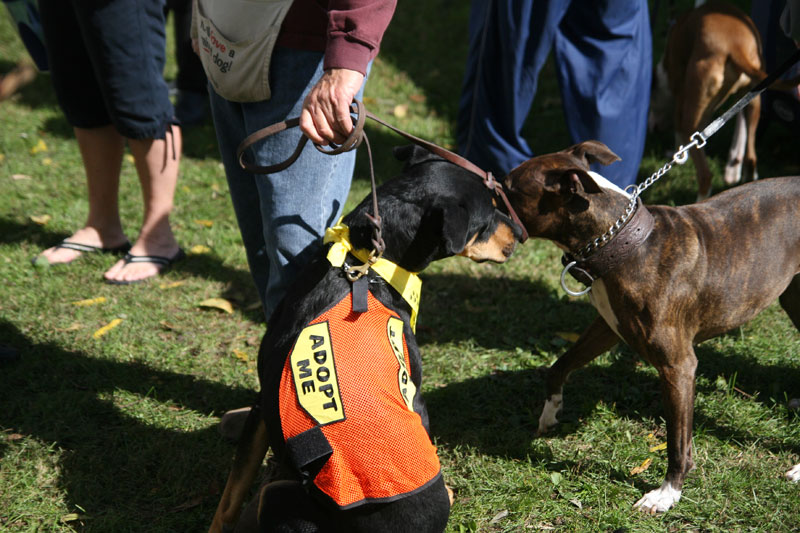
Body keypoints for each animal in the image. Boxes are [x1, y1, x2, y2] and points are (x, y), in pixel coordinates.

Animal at [209, 145, 520, 532]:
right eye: (488, 216)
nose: (520, 235)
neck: (363, 264)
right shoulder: (415, 394)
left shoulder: (262, 404)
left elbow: (228, 498)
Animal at [648, 1, 800, 201]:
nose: (652, 127)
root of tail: (736, 46)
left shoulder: (680, 97)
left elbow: (677, 132)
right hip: (754, 103)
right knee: (751, 157)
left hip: (693, 115)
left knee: (705, 175)